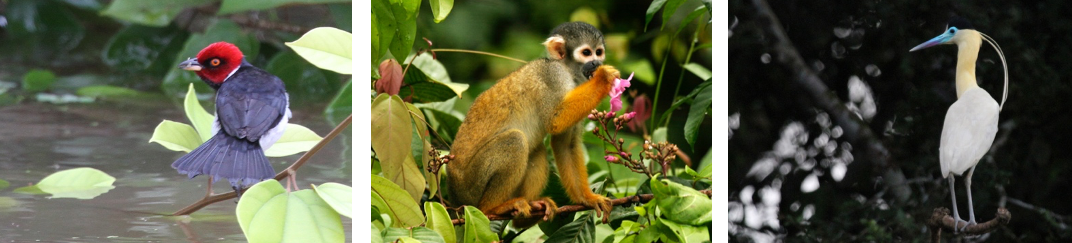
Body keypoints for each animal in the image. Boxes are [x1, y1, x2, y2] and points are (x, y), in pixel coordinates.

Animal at [445, 21, 617, 229]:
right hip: (472, 186)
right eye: (586, 53)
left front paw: (588, 198)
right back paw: (493, 208)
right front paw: (604, 78)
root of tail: (454, 199)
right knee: (515, 140)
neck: (567, 70)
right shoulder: (552, 76)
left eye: (598, 52)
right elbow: (555, 120)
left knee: (535, 148)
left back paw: (528, 213)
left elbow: (565, 145)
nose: (597, 63)